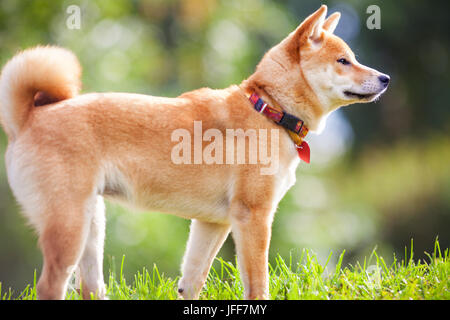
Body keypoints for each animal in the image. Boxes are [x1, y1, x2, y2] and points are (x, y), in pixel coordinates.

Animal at [0, 5, 386, 300]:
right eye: (343, 60)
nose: (385, 78)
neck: (269, 109)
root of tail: (28, 117)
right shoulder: (253, 217)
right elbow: (257, 284)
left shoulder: (212, 224)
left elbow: (192, 280)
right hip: (69, 229)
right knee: (50, 286)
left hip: (90, 228)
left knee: (89, 288)